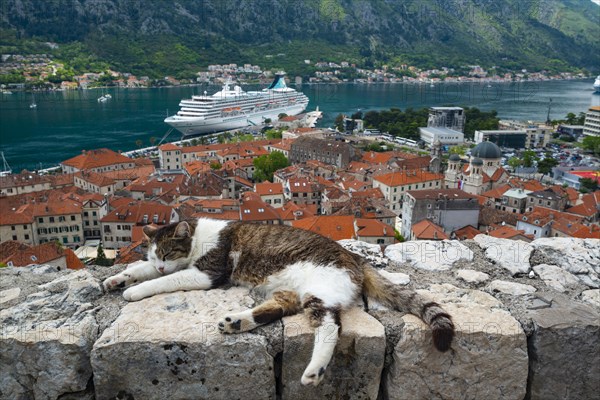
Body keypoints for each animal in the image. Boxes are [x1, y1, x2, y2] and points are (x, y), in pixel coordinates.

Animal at [103, 219, 452, 388]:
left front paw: (137, 289)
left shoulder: (207, 272)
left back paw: (315, 370)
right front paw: (118, 280)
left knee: (330, 326)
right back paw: (237, 322)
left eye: (166, 252)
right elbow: (140, 271)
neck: (199, 236)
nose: (160, 264)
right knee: (281, 309)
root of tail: (356, 258)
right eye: (153, 255)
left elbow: (164, 281)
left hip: (320, 290)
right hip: (291, 292)